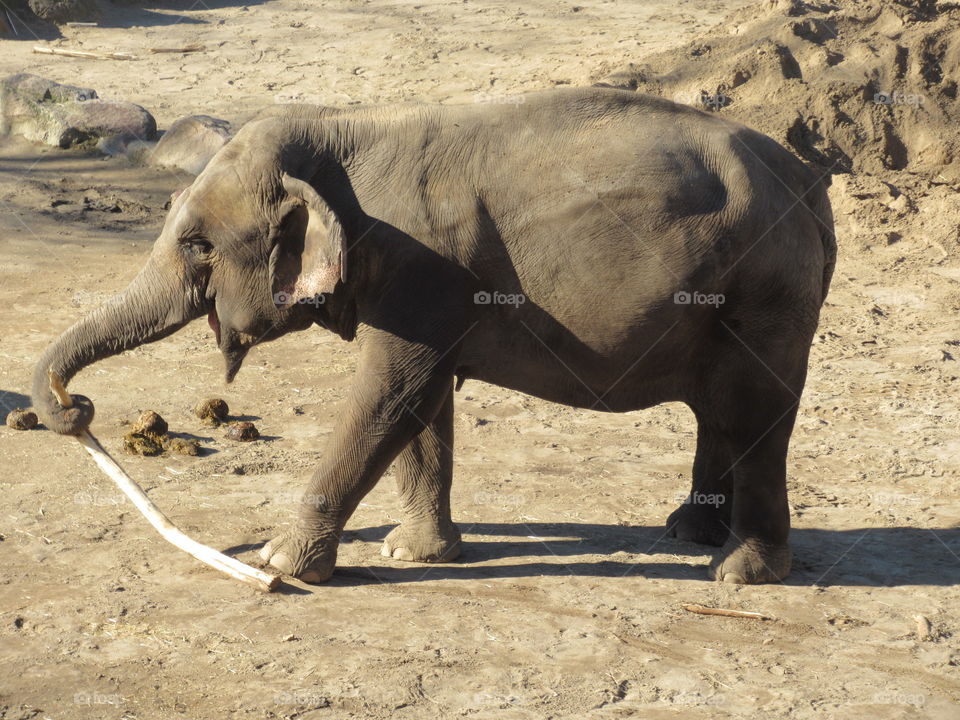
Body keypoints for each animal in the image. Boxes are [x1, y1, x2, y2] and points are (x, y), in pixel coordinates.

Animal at [33, 87, 836, 584]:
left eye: (199, 245)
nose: (77, 409)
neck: (344, 130)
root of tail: (807, 182)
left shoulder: (422, 269)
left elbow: (391, 393)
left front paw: (277, 565)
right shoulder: (427, 290)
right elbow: (423, 403)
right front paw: (414, 554)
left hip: (767, 294)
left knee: (754, 413)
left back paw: (738, 573)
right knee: (719, 412)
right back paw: (685, 534)